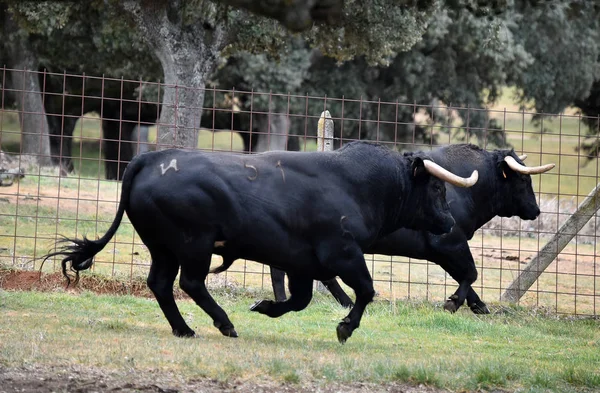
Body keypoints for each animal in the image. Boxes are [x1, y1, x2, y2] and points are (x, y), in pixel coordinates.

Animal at [39, 142, 476, 344]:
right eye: (437, 188)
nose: (450, 221)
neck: (359, 184)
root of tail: (153, 158)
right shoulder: (343, 253)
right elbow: (366, 291)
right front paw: (345, 327)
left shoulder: (302, 263)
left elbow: (299, 300)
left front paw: (266, 306)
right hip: (193, 244)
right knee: (190, 283)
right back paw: (224, 323)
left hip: (163, 248)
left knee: (161, 284)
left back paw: (185, 329)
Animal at [264, 144, 556, 312]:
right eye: (522, 179)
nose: (536, 210)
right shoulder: (450, 242)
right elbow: (470, 273)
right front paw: (454, 303)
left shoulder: (443, 250)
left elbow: (463, 275)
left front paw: (476, 304)